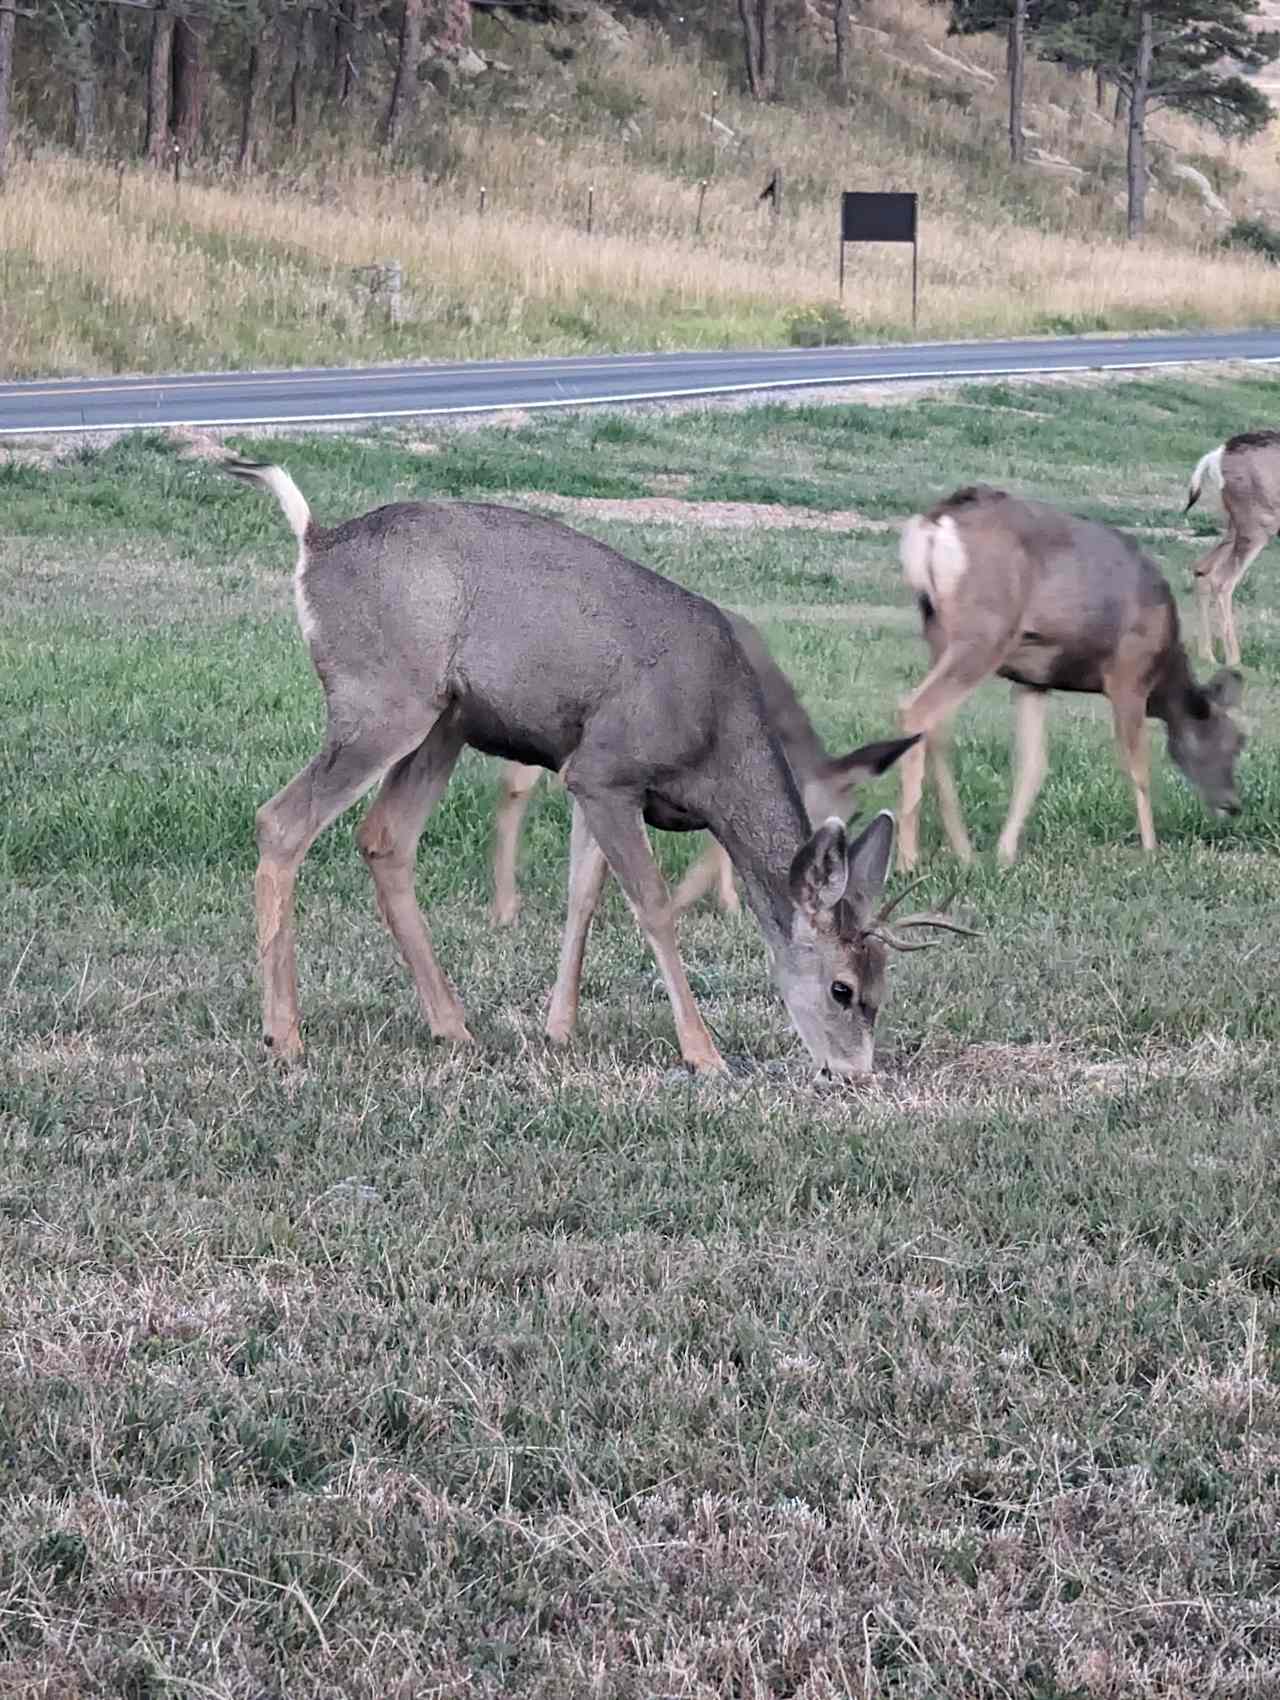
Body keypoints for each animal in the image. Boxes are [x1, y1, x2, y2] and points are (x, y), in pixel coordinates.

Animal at [890, 486, 1244, 870]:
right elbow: (1138, 766)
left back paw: (964, 852)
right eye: (1234, 740)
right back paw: (907, 860)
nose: (1234, 805)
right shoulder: (1128, 674)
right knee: (915, 710)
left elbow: (1033, 765)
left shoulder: (1034, 681)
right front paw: (1151, 849)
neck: (1163, 670)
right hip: (983, 633)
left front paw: (1005, 852)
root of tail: (934, 524)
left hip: (938, 632)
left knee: (939, 730)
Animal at [1176, 431, 1278, 669]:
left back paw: (1208, 655)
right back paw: (1233, 660)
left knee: (1202, 569)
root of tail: (1219, 453)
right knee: (1223, 581)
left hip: (1234, 530)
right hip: (1258, 531)